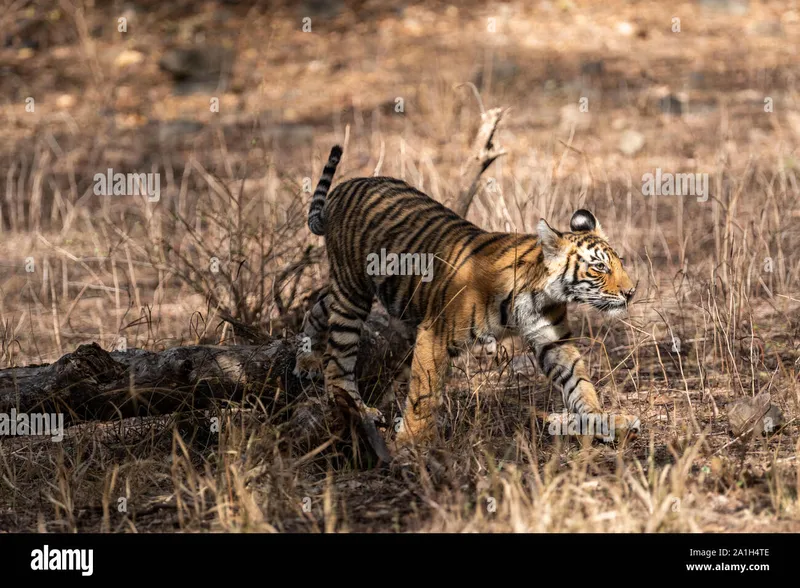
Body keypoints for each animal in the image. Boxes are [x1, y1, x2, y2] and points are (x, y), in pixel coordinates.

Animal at [296, 145, 640, 458]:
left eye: (619, 263)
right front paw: (413, 442)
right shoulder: (435, 333)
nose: (631, 291)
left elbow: (579, 382)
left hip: (348, 288)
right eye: (599, 267)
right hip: (353, 293)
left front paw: (603, 421)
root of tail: (347, 185)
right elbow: (424, 391)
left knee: (318, 306)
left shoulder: (553, 341)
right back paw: (359, 408)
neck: (538, 295)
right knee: (338, 360)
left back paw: (306, 358)